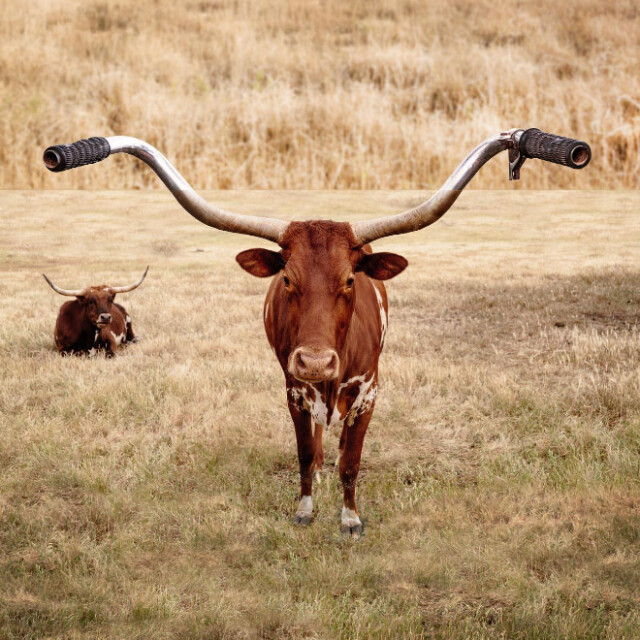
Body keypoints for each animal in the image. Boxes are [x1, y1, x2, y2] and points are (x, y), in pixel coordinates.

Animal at [41, 127, 592, 536]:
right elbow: (306, 453)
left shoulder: (370, 391)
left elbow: (353, 461)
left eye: (350, 280)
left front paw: (349, 517)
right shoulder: (291, 388)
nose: (316, 361)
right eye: (288, 279)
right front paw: (306, 507)